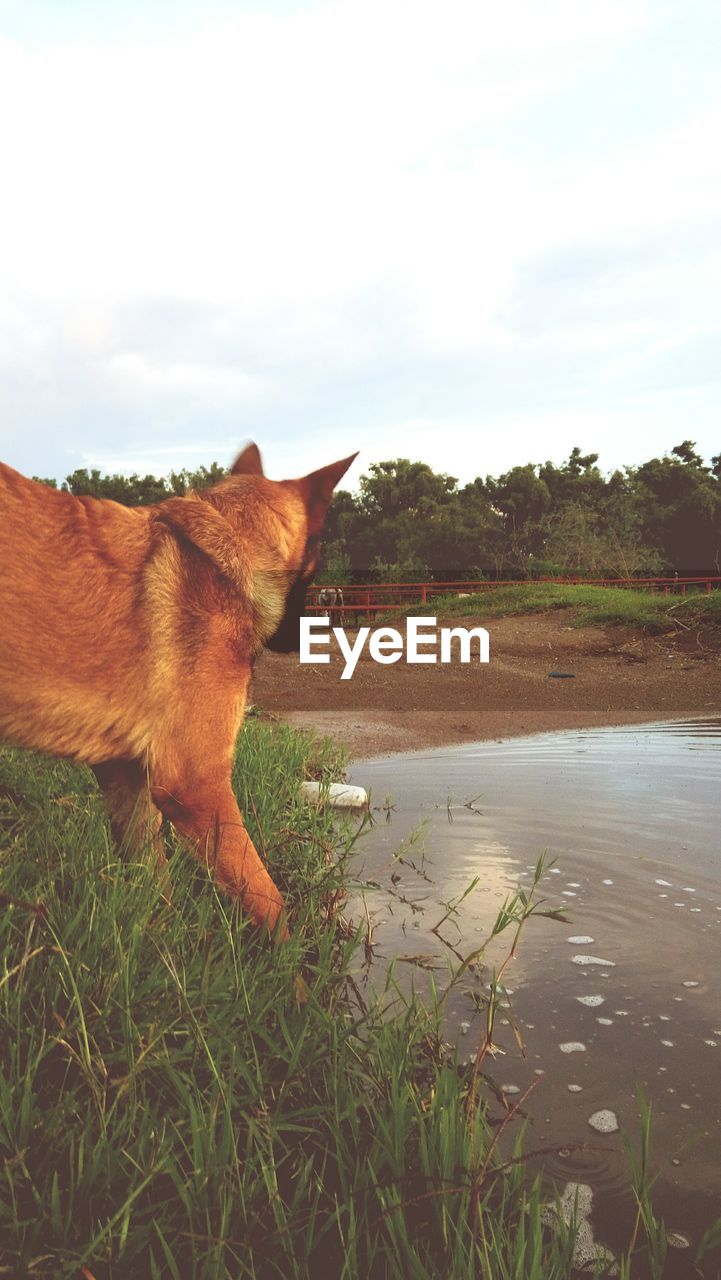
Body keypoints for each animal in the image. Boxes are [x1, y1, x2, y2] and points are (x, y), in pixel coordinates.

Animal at [0, 445, 356, 936]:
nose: (304, 636)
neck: (229, 551)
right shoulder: (196, 785)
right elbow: (269, 900)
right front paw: (290, 957)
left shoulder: (126, 775)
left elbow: (152, 886)